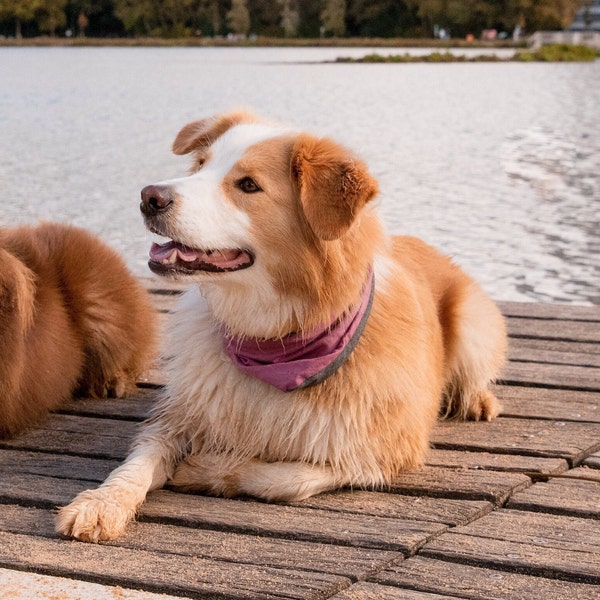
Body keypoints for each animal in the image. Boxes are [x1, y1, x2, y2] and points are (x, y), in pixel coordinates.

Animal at [57, 112, 506, 544]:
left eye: (248, 185)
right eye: (200, 165)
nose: (149, 196)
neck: (274, 335)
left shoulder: (385, 451)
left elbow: (290, 478)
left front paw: (204, 469)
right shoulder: (178, 415)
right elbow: (134, 465)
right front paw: (100, 504)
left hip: (475, 324)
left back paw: (477, 400)